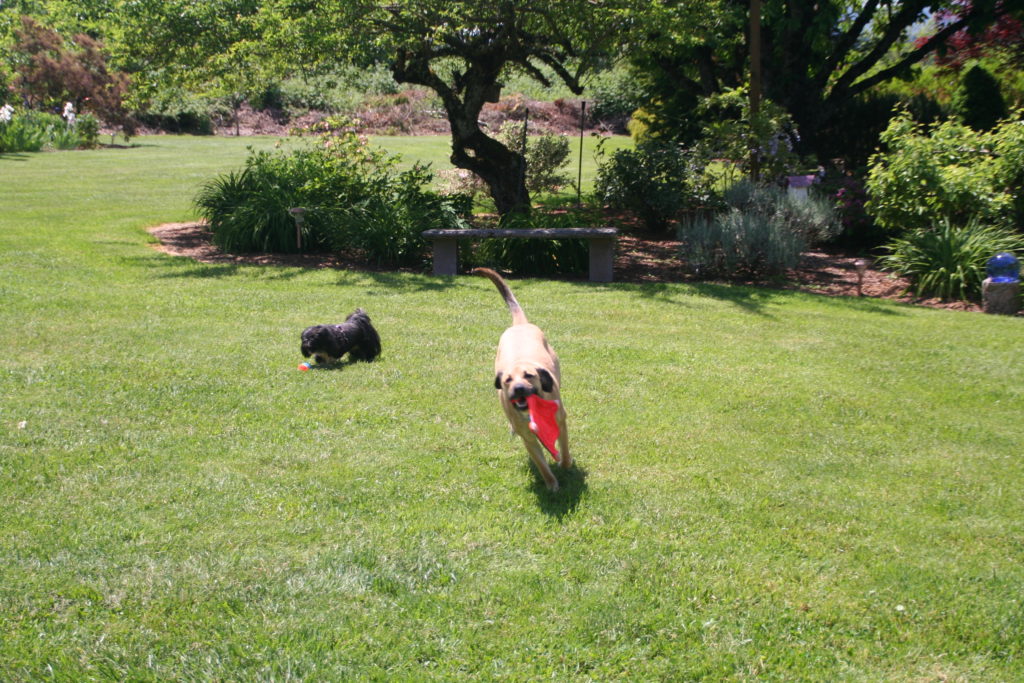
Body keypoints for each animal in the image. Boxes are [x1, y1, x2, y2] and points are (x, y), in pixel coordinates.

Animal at [475, 268, 573, 491]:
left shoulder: (561, 421)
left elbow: (564, 449)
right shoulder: (528, 439)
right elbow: (541, 464)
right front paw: (551, 484)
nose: (519, 388)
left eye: (529, 375)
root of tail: (520, 325)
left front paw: (565, 465)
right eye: (507, 380)